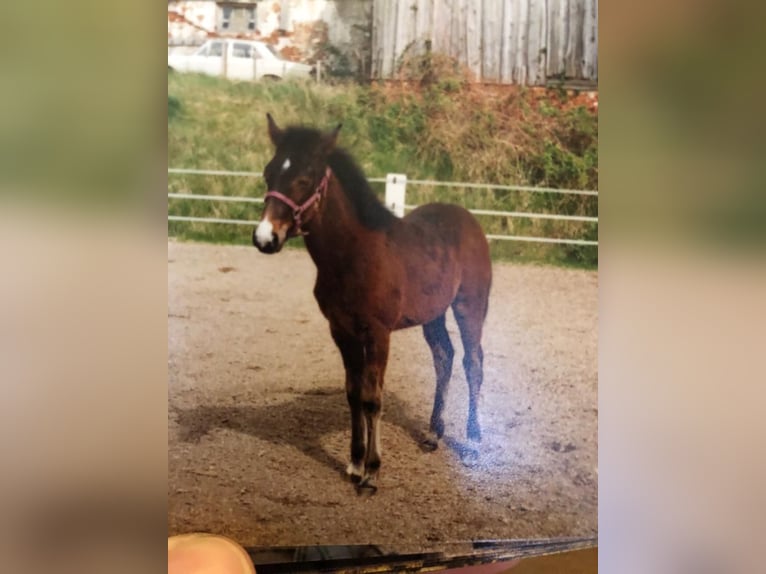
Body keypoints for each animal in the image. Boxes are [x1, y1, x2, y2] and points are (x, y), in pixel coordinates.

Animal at [252, 116, 492, 490]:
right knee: (444, 358)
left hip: (470, 306)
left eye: (305, 178)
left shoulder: (378, 333)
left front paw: (373, 471)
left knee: (473, 363)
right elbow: (354, 394)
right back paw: (433, 434)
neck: (353, 256)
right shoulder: (342, 331)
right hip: (433, 314)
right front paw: (354, 463)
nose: (265, 238)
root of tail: (468, 219)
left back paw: (473, 444)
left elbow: (373, 398)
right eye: (269, 172)